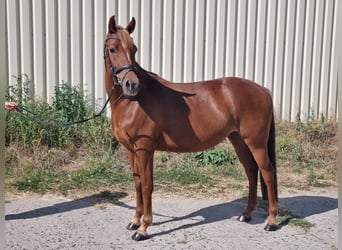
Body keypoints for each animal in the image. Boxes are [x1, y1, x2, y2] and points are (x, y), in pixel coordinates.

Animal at [103, 16, 278, 240]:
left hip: (256, 143)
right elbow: (137, 183)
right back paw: (246, 214)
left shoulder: (145, 148)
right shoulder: (129, 149)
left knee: (267, 172)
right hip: (238, 140)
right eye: (113, 49)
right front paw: (135, 221)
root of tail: (263, 90)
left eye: (134, 49)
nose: (131, 85)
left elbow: (147, 185)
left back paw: (271, 221)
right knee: (251, 170)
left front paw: (143, 228)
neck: (133, 102)